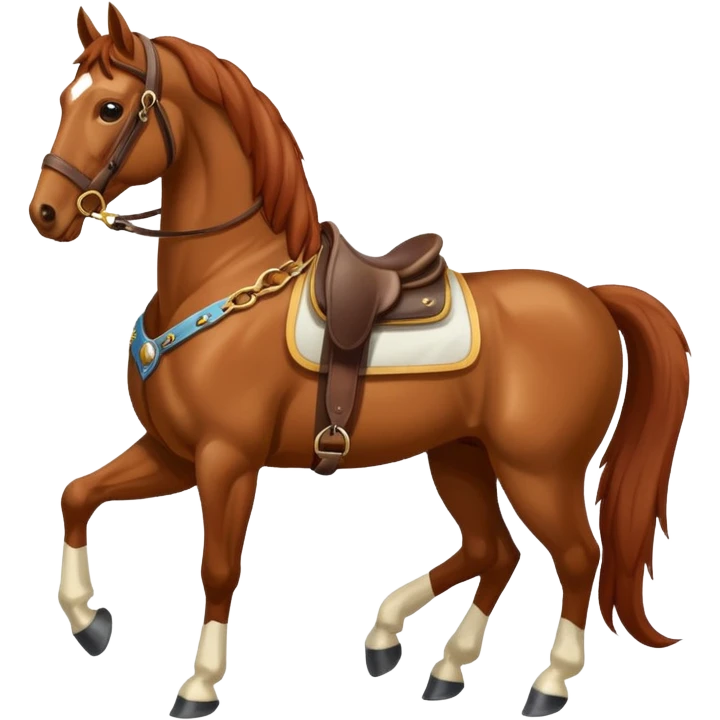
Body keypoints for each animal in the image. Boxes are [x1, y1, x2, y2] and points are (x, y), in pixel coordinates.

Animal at [30, 4, 691, 718]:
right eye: (65, 98)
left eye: (110, 108)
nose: (46, 212)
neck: (229, 280)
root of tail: (593, 298)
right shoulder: (173, 451)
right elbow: (77, 494)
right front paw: (90, 622)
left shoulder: (226, 459)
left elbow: (218, 568)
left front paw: (199, 684)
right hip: (461, 454)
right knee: (494, 549)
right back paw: (425, 657)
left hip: (539, 470)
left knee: (574, 556)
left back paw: (545, 683)